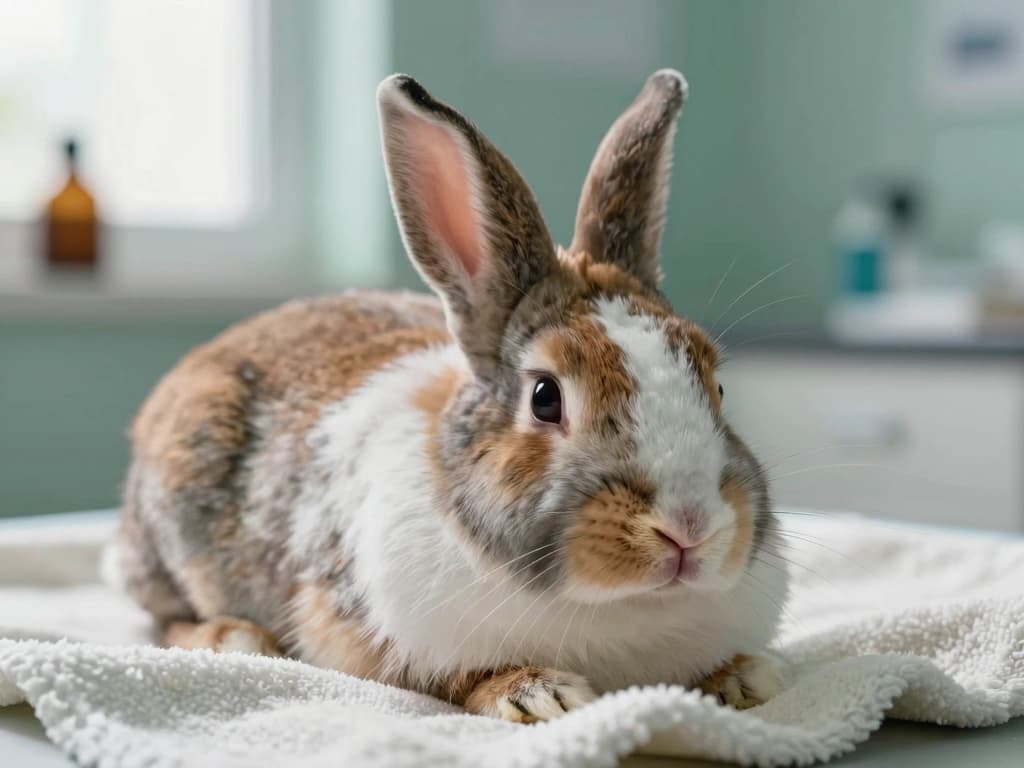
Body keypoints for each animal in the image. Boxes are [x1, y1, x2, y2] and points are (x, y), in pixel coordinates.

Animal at [107, 69, 788, 722]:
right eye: (545, 397)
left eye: (717, 385)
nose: (689, 528)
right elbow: (457, 677)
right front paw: (539, 694)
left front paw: (746, 678)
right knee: (161, 615)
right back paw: (236, 638)